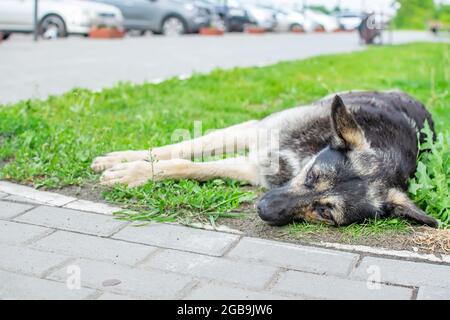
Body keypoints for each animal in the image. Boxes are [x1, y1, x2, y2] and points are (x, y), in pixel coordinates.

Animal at [92, 90, 440, 228]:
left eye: (326, 213)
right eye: (312, 176)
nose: (262, 208)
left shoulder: (254, 167)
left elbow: (186, 166)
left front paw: (132, 173)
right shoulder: (255, 131)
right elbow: (180, 150)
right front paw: (123, 161)